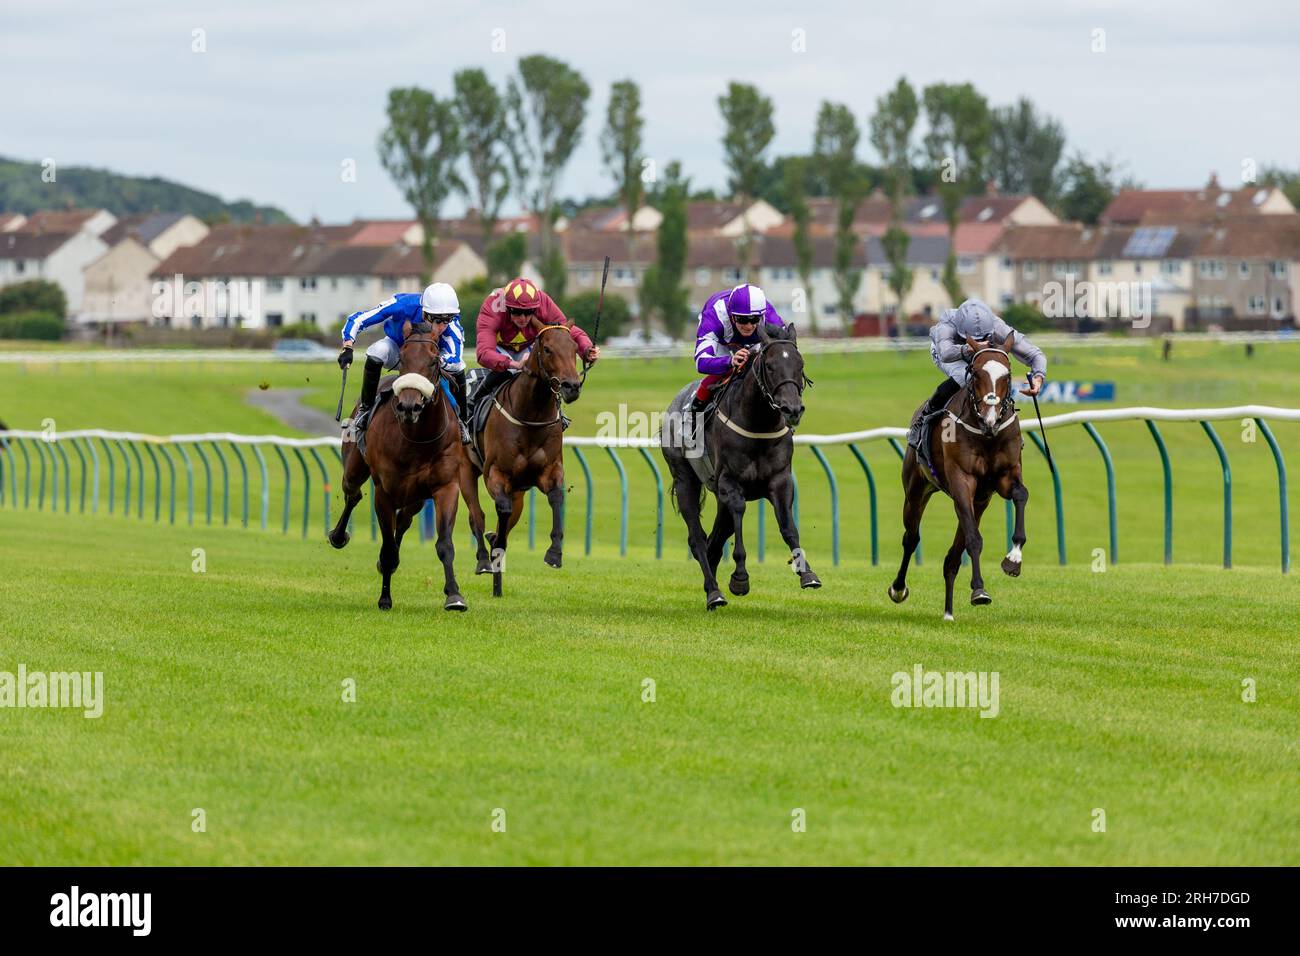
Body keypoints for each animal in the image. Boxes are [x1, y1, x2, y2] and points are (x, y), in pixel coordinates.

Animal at [330, 323, 467, 613]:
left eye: (434, 362)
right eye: (403, 359)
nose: (409, 406)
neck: (416, 438)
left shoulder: (446, 487)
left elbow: (445, 544)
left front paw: (454, 595)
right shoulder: (384, 493)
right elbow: (388, 548)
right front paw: (385, 598)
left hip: (416, 498)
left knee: (403, 521)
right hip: (354, 469)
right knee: (353, 494)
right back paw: (338, 536)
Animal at [457, 321, 579, 598]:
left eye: (575, 348)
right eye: (547, 349)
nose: (572, 386)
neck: (531, 415)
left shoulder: (550, 470)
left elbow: (556, 498)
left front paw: (554, 553)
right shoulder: (496, 474)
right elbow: (500, 510)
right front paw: (494, 547)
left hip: (519, 492)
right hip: (465, 470)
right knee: (476, 515)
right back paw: (484, 559)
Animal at [665, 321, 816, 606]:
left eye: (800, 365)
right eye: (770, 366)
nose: (792, 409)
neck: (758, 423)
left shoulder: (780, 480)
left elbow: (788, 526)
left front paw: (807, 573)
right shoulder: (729, 482)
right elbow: (738, 513)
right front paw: (739, 577)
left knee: (714, 540)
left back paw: (710, 586)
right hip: (684, 478)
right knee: (698, 539)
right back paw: (714, 593)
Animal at [889, 335, 1029, 621]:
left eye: (1008, 375)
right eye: (976, 374)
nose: (990, 419)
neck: (986, 435)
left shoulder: (1005, 476)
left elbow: (1021, 494)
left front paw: (1013, 559)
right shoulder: (961, 481)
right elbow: (974, 539)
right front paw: (979, 590)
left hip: (980, 502)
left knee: (952, 556)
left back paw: (948, 611)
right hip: (916, 490)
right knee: (911, 538)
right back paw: (899, 588)